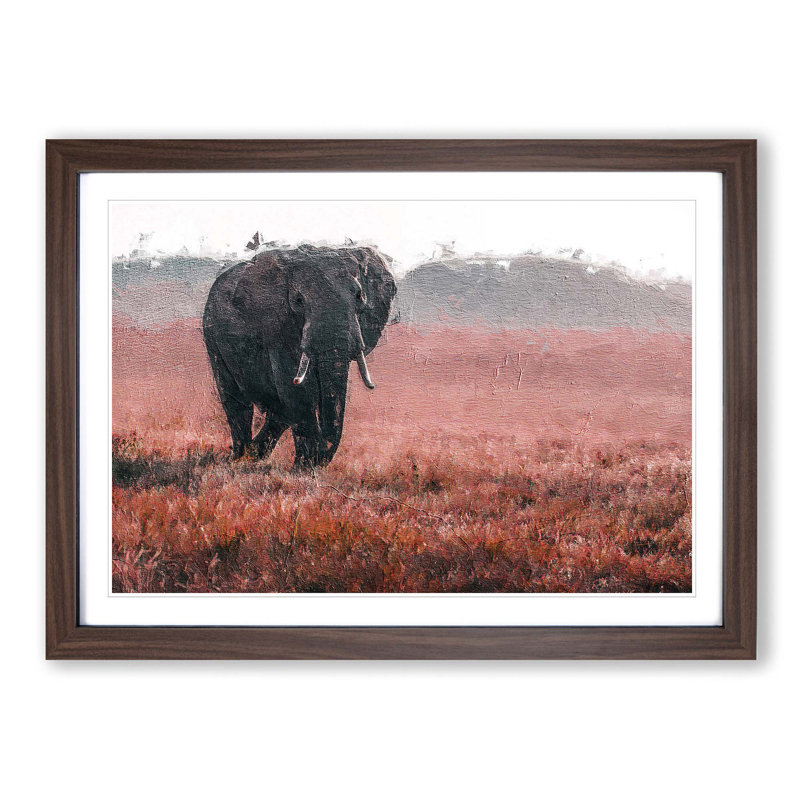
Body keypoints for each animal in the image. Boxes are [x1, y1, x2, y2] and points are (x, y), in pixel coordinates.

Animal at [202, 244, 396, 469]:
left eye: (359, 296)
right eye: (298, 301)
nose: (321, 452)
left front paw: (307, 463)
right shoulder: (276, 327)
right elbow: (297, 390)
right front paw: (303, 468)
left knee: (278, 410)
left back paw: (254, 454)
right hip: (212, 336)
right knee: (236, 403)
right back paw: (239, 458)